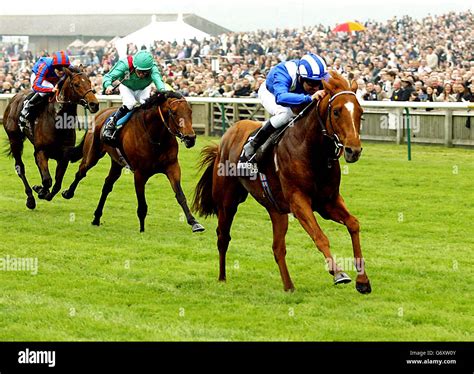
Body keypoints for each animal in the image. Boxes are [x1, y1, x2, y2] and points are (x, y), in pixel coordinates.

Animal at [3, 65, 100, 209]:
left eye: (89, 82)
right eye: (76, 84)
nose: (94, 104)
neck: (57, 120)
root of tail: (14, 97)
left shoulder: (64, 156)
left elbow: (56, 185)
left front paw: (43, 191)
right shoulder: (41, 151)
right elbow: (47, 180)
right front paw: (40, 190)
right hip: (14, 139)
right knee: (20, 168)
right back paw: (30, 199)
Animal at [61, 91, 204, 234]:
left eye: (190, 111)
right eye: (173, 112)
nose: (191, 138)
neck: (155, 137)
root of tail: (101, 113)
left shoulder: (172, 167)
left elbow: (180, 195)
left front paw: (194, 223)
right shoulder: (140, 173)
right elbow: (142, 205)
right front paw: (142, 230)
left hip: (117, 163)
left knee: (107, 185)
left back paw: (96, 218)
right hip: (92, 155)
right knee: (81, 172)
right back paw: (68, 193)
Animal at [193, 69, 370, 292]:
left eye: (360, 112)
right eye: (337, 111)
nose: (353, 150)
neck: (312, 150)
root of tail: (225, 139)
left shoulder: (328, 201)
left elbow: (353, 224)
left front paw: (363, 281)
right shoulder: (298, 201)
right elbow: (320, 237)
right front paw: (338, 272)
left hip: (276, 209)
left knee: (278, 248)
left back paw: (289, 286)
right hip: (227, 202)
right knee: (223, 237)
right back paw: (222, 278)